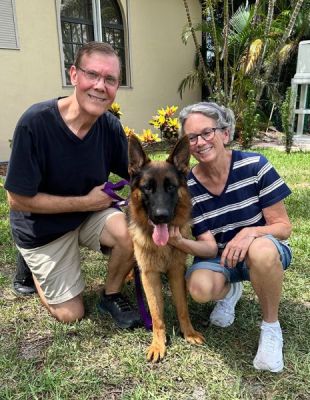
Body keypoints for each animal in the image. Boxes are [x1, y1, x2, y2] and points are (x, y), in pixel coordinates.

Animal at [127, 135, 205, 362]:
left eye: (171, 187)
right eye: (147, 187)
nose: (161, 216)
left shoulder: (176, 272)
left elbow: (182, 307)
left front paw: (188, 333)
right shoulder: (149, 275)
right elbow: (156, 314)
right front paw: (158, 343)